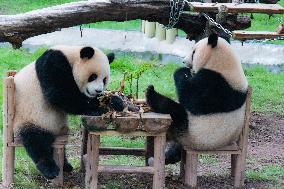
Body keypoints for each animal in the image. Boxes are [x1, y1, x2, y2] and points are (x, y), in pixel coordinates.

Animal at [13, 45, 120, 179]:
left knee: (59, 147)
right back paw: (50, 169)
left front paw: (115, 101)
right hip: (30, 117)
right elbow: (60, 94)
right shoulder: (53, 63)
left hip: (60, 129)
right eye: (93, 76)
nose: (98, 90)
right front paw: (98, 109)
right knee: (37, 141)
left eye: (105, 79)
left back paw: (66, 166)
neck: (71, 56)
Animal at [145, 34, 247, 164]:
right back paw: (166, 157)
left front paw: (182, 71)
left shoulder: (216, 84)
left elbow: (192, 99)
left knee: (176, 112)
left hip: (193, 132)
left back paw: (152, 95)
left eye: (194, 52)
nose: (184, 61)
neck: (222, 64)